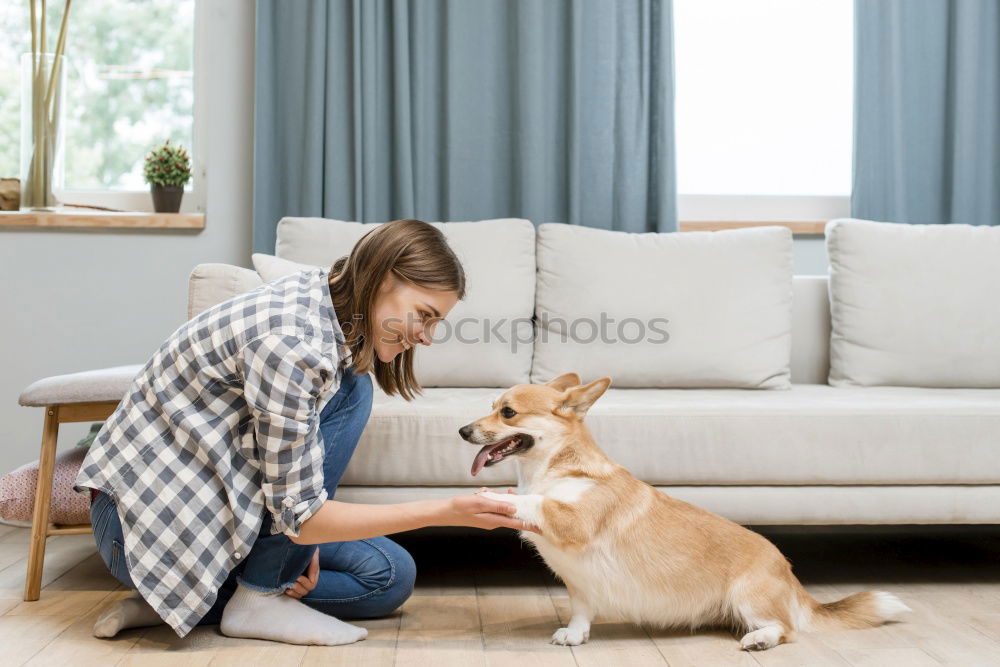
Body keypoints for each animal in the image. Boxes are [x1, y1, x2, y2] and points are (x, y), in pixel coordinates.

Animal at [458, 374, 912, 648]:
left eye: (508, 412)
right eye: (491, 404)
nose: (462, 430)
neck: (553, 469)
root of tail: (790, 576)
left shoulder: (575, 520)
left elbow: (533, 501)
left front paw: (495, 497)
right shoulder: (580, 584)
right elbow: (581, 613)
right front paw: (575, 635)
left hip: (749, 596)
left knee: (786, 630)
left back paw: (759, 640)